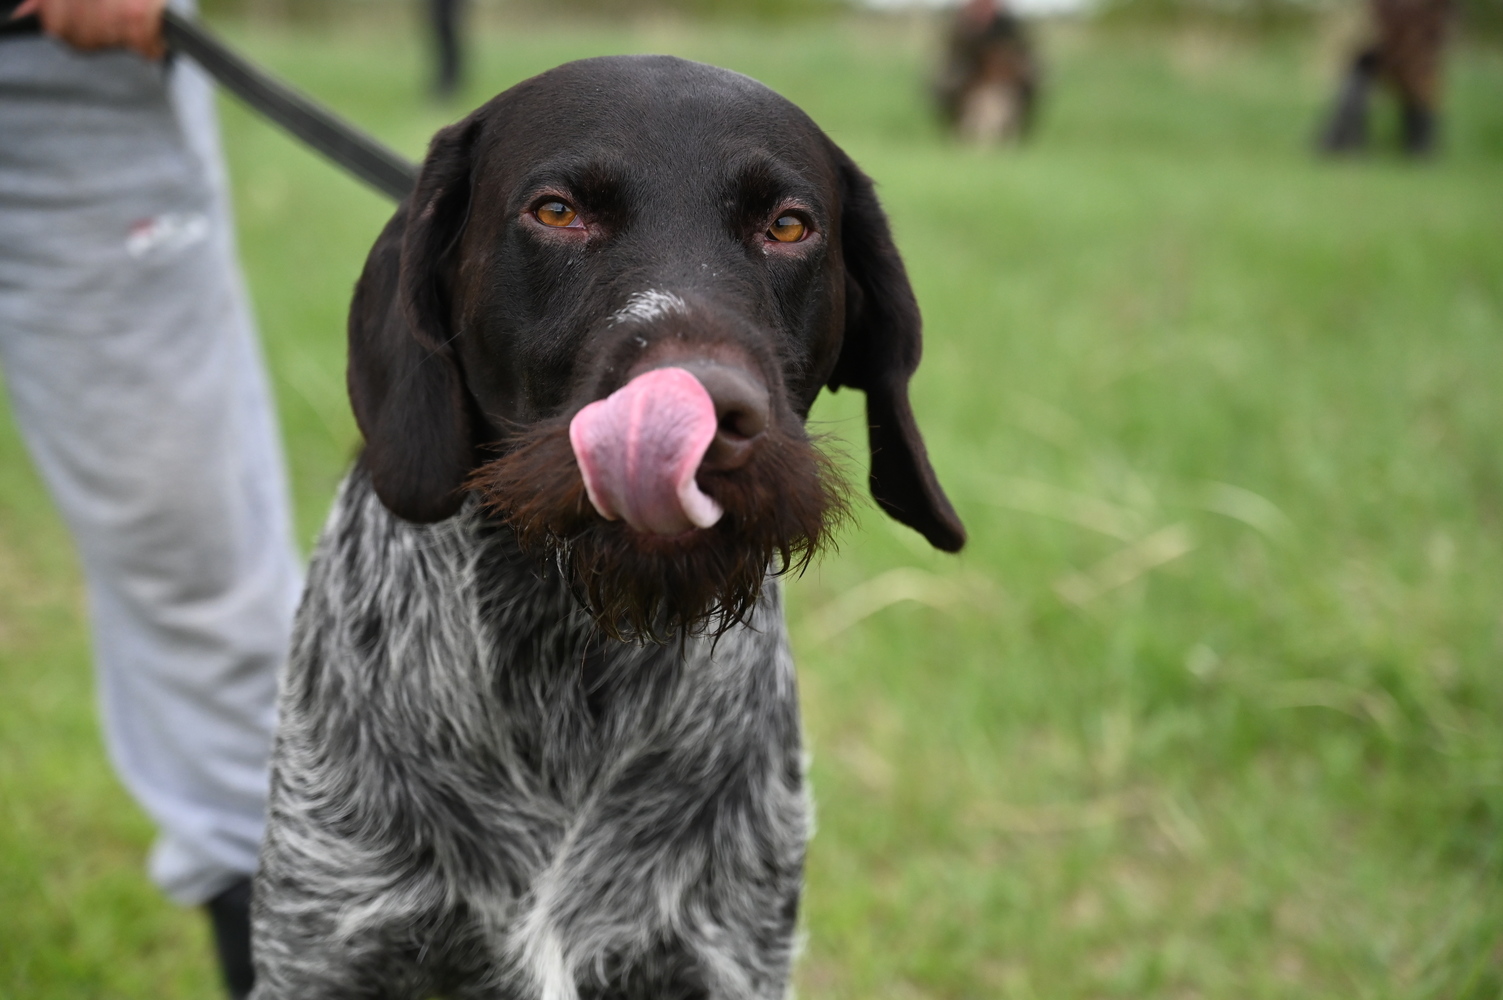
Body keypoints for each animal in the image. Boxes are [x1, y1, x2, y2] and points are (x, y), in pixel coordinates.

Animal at [249, 52, 961, 998]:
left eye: (788, 225)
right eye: (555, 212)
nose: (704, 412)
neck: (573, 669)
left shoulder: (723, 955)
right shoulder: (328, 950)